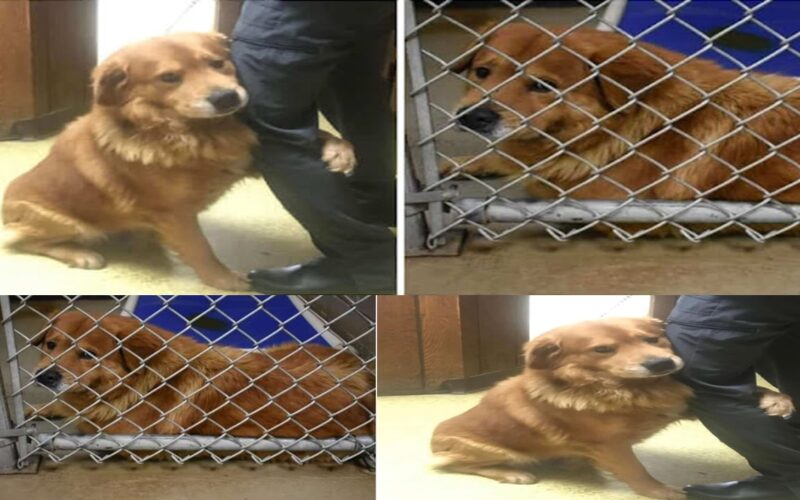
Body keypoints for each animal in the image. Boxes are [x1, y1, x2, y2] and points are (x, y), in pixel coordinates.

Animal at [0, 32, 356, 290]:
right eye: (169, 77)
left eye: (218, 63)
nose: (226, 98)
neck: (186, 131)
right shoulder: (174, 214)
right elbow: (201, 249)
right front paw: (225, 280)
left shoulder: (241, 161)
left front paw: (339, 148)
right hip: (69, 223)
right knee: (27, 242)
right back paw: (81, 254)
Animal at [30, 310, 376, 440]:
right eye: (51, 344)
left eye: (87, 354)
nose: (44, 376)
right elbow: (61, 404)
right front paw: (35, 408)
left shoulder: (116, 429)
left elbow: (77, 414)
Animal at [432, 316, 792, 500]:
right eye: (603, 350)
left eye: (652, 339)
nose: (661, 363)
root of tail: (434, 439)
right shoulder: (610, 445)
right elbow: (638, 472)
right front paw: (663, 492)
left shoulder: (672, 406)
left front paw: (776, 398)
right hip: (493, 451)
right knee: (457, 465)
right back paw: (512, 473)